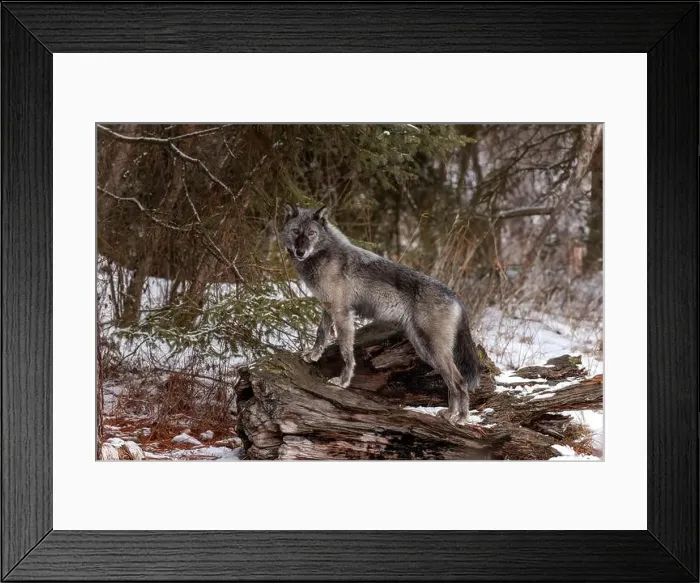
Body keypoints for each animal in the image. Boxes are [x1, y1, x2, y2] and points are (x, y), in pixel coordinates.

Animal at [282, 203, 480, 424]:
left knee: (460, 382)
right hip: (425, 351)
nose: (300, 251)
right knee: (450, 383)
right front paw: (313, 356)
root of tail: (456, 297)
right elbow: (321, 334)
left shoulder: (343, 313)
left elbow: (345, 351)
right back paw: (449, 414)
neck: (326, 255)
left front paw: (343, 381)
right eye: (296, 231)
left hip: (434, 350)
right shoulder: (329, 307)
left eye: (311, 233)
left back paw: (461, 418)